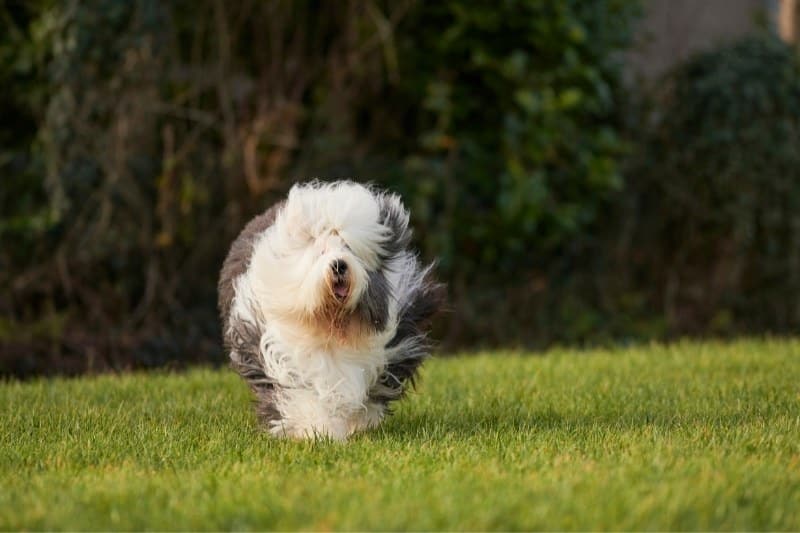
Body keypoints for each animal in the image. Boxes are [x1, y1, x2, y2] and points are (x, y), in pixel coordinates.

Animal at [219, 181, 444, 438]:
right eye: (321, 251)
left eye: (349, 249)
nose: (339, 265)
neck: (333, 325)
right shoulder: (277, 351)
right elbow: (300, 395)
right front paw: (318, 431)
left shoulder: (392, 348)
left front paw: (354, 424)